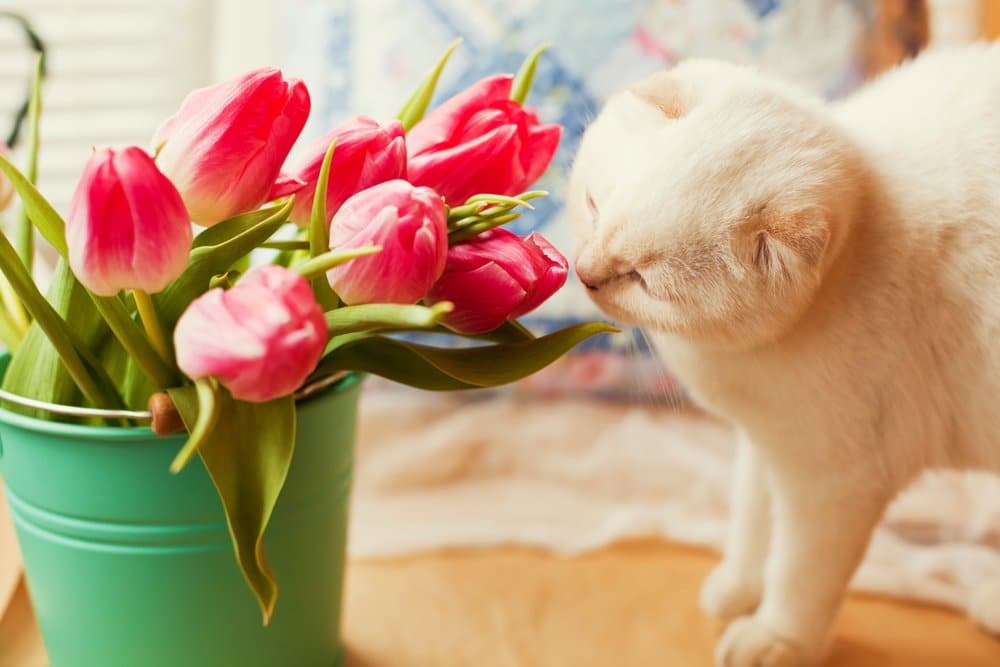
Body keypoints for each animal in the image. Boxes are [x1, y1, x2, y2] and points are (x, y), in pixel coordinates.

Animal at [568, 43, 1000, 667]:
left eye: (643, 280)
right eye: (594, 207)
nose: (584, 272)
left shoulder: (838, 478)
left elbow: (802, 572)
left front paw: (776, 636)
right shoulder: (770, 441)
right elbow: (754, 521)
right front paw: (740, 587)